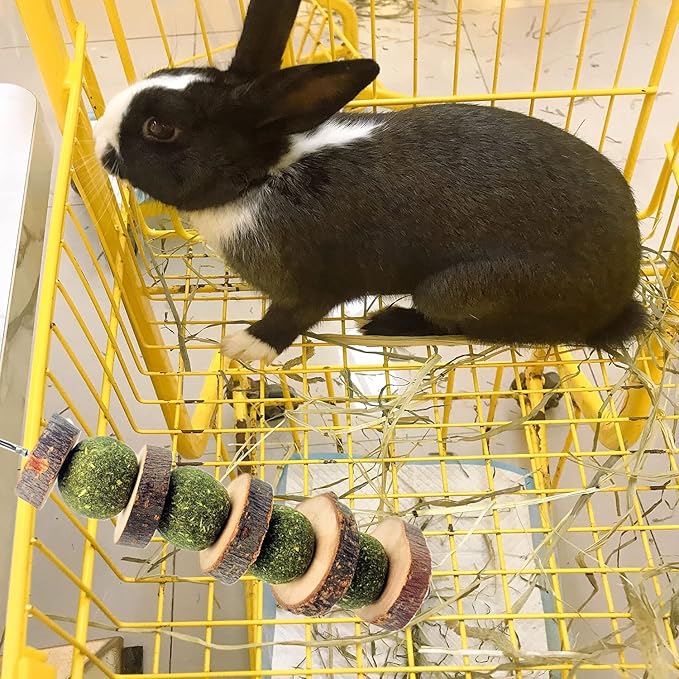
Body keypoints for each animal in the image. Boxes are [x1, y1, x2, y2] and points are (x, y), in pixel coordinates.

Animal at [94, 0, 647, 365]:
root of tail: (620, 303)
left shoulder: (309, 288)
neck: (261, 178)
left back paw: (388, 322)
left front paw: (244, 348)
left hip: (457, 289)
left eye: (160, 128)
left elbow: (288, 319)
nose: (97, 134)